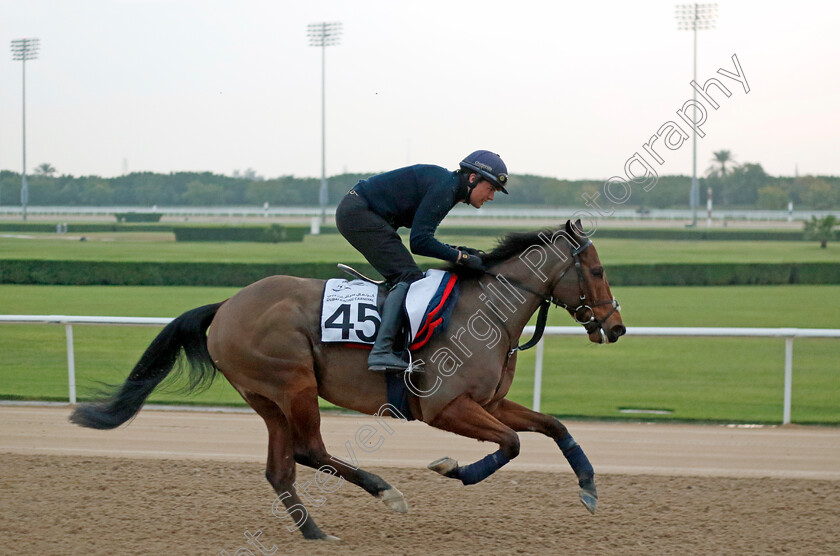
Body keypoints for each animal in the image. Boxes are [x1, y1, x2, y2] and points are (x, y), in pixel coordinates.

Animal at [70, 219, 624, 540]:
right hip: (294, 383)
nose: (617, 327)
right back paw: (385, 491)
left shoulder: (487, 402)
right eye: (597, 271)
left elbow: (552, 426)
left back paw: (315, 533)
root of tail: (226, 305)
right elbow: (511, 444)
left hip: (267, 397)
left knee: (281, 466)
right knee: (309, 450)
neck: (485, 310)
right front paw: (452, 469)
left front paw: (589, 488)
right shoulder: (444, 407)